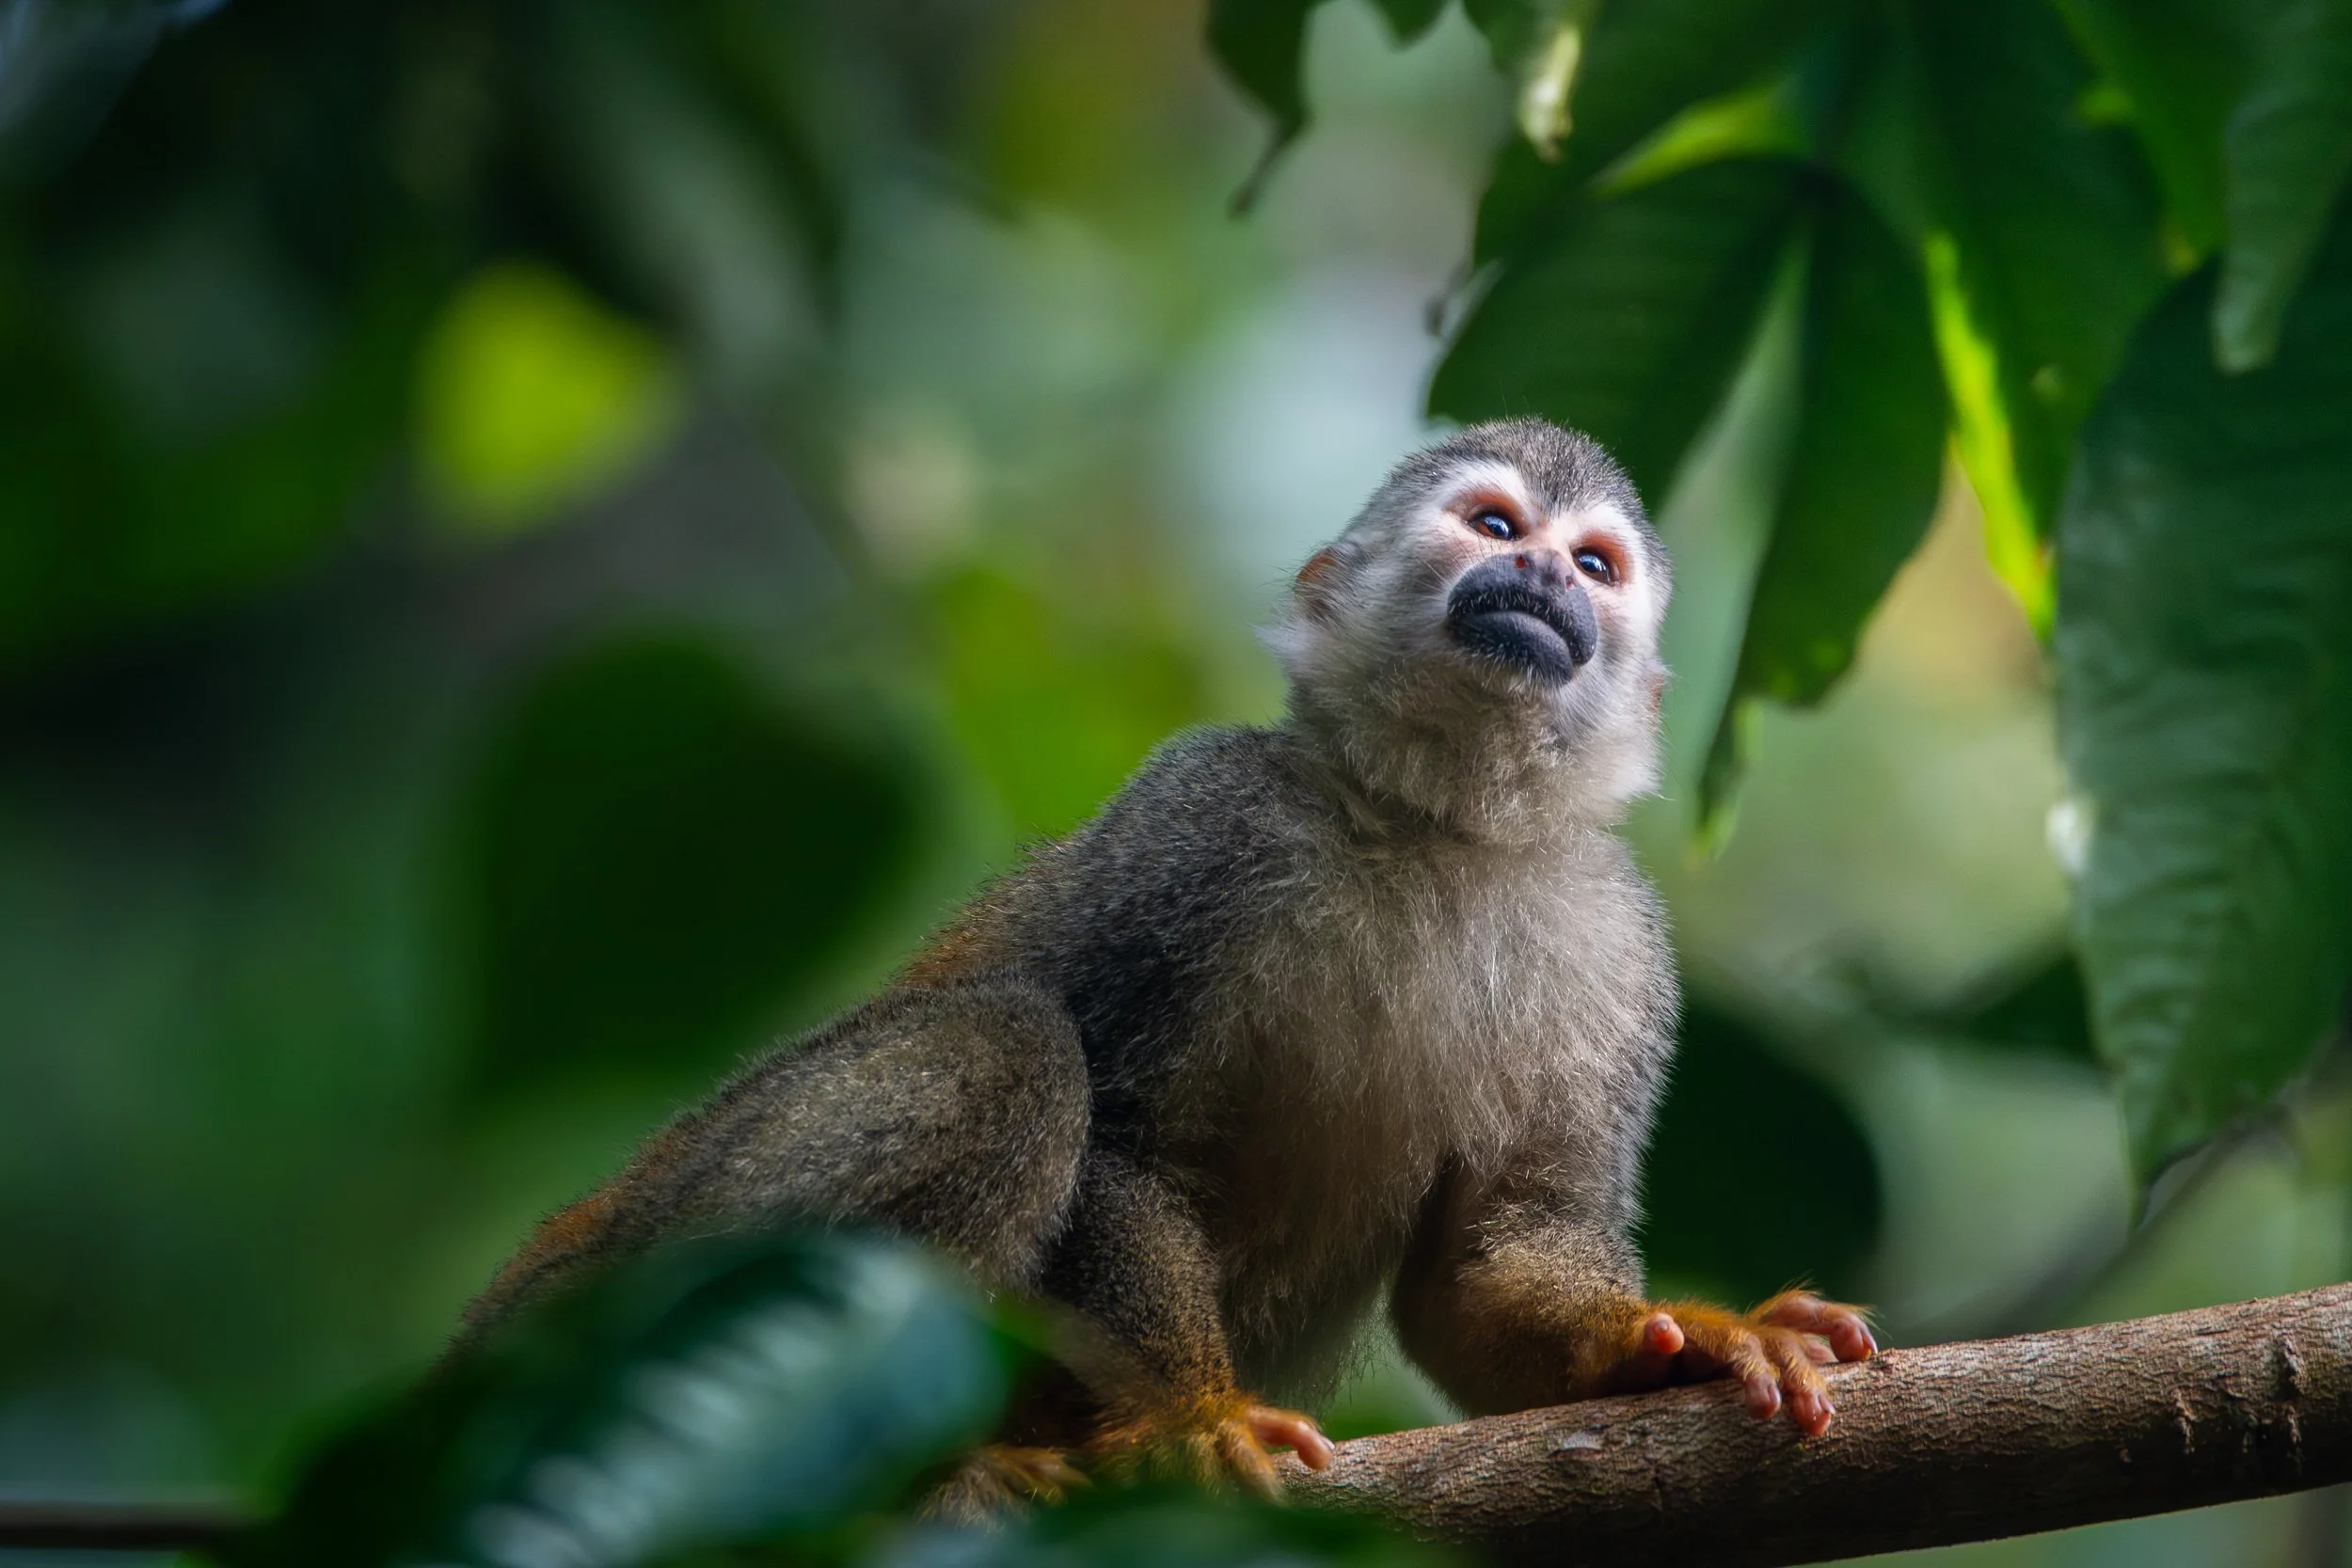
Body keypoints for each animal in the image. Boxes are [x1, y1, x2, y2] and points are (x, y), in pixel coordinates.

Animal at [455, 417, 1876, 1513]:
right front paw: (1195, 1413)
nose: (1539, 574)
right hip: (649, 1263)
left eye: (1593, 563)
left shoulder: (1621, 947)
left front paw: (1677, 1344)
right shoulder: (1198, 821)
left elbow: (1486, 1266)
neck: (1433, 827)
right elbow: (1127, 1143)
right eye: (1492, 524)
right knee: (1008, 1049)